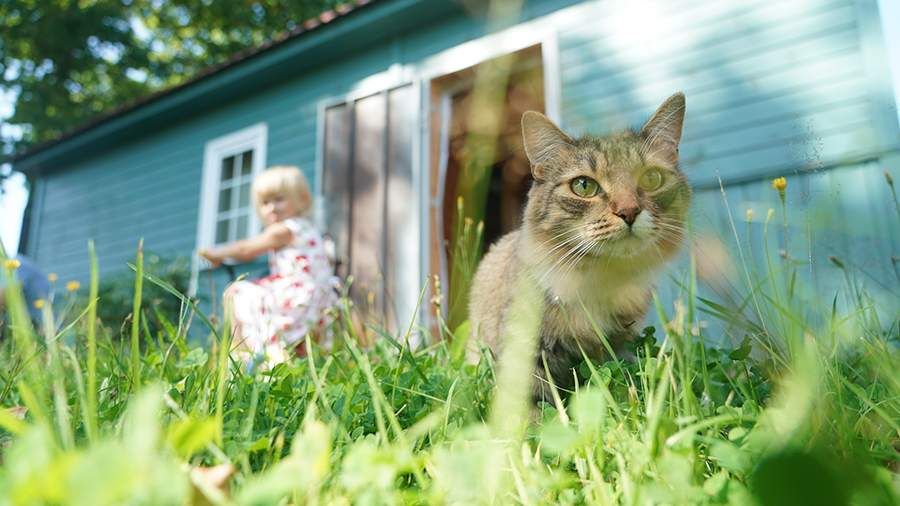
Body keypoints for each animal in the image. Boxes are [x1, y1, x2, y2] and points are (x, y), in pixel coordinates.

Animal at [468, 92, 692, 404]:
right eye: (584, 186)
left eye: (651, 178)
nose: (629, 211)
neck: (598, 278)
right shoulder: (524, 349)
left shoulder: (621, 344)